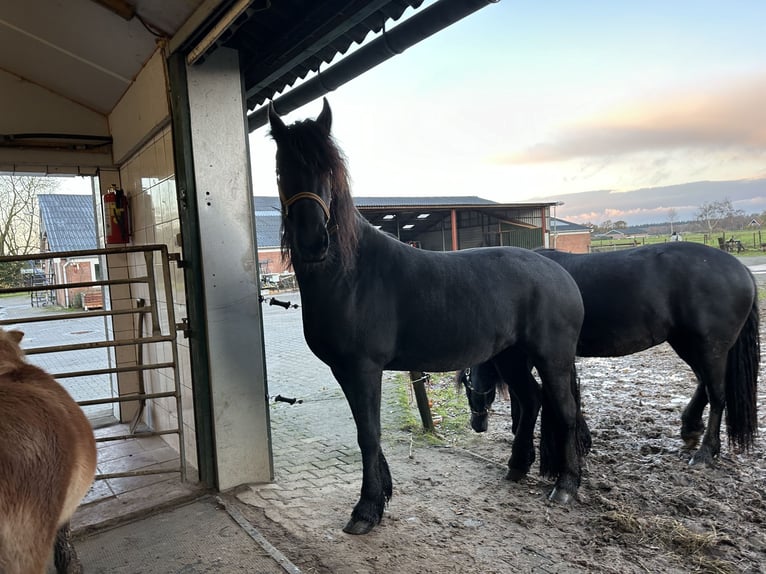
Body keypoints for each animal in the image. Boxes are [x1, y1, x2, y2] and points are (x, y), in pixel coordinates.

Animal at [270, 99, 588, 536]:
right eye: (282, 169)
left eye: (328, 169)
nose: (313, 242)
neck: (352, 274)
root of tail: (561, 273)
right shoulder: (344, 370)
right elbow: (365, 431)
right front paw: (381, 497)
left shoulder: (363, 368)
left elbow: (369, 434)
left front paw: (365, 510)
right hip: (511, 356)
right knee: (533, 400)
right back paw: (517, 468)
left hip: (551, 357)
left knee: (565, 411)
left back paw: (566, 486)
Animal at [464, 243, 760, 472]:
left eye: (468, 388)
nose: (477, 425)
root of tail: (742, 270)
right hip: (689, 343)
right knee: (704, 384)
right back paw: (690, 428)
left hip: (709, 347)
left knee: (717, 395)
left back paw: (705, 453)